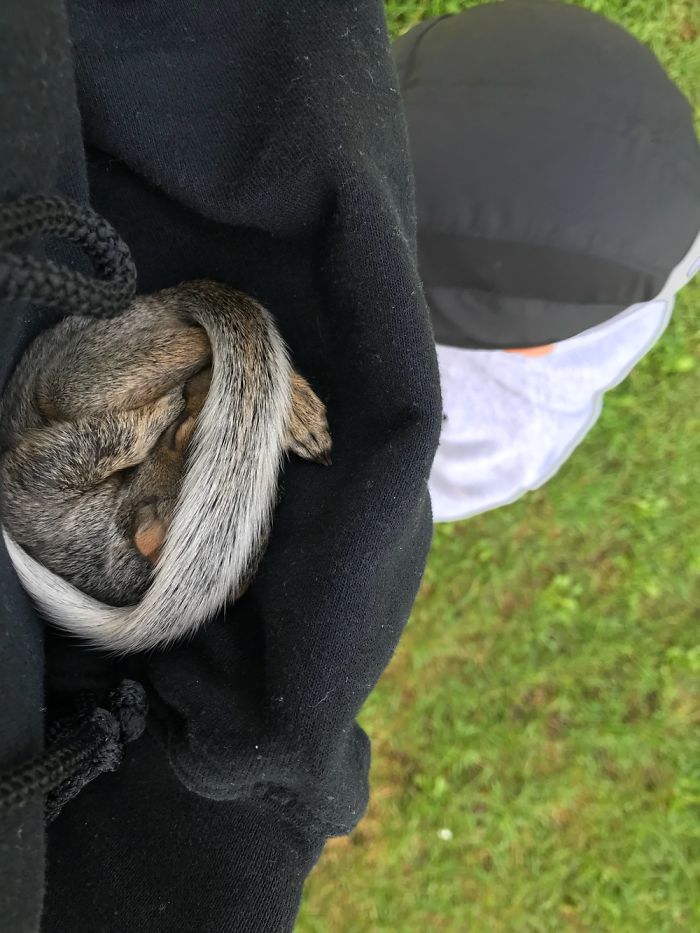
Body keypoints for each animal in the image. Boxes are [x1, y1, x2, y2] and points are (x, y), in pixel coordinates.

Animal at [0, 280, 331, 654]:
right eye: (178, 434)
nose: (186, 396)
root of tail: (157, 299)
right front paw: (167, 406)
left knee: (198, 341)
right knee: (198, 341)